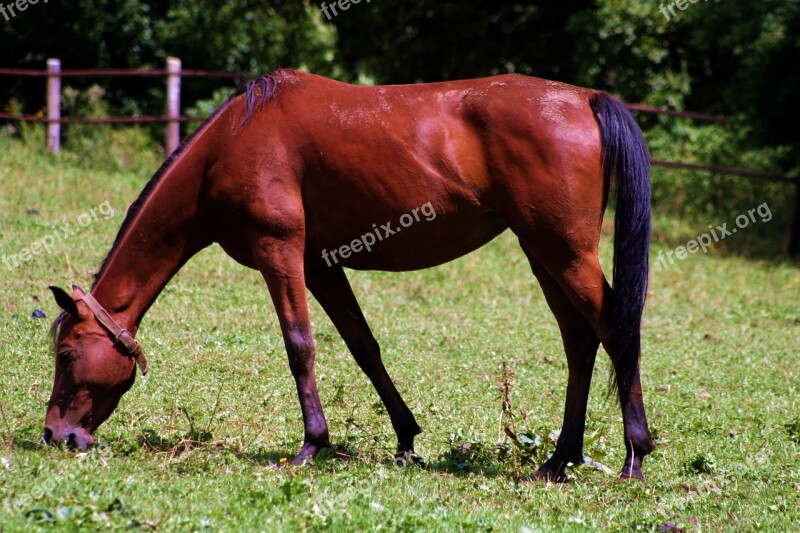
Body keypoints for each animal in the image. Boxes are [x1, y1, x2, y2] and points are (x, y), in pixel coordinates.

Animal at [45, 68, 656, 480]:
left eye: (66, 355)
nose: (56, 435)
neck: (229, 145)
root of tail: (584, 99)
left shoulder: (279, 254)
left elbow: (299, 346)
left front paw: (311, 445)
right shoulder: (321, 266)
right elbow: (364, 347)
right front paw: (406, 439)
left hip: (564, 253)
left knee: (615, 330)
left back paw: (634, 453)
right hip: (543, 254)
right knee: (580, 341)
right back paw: (560, 458)